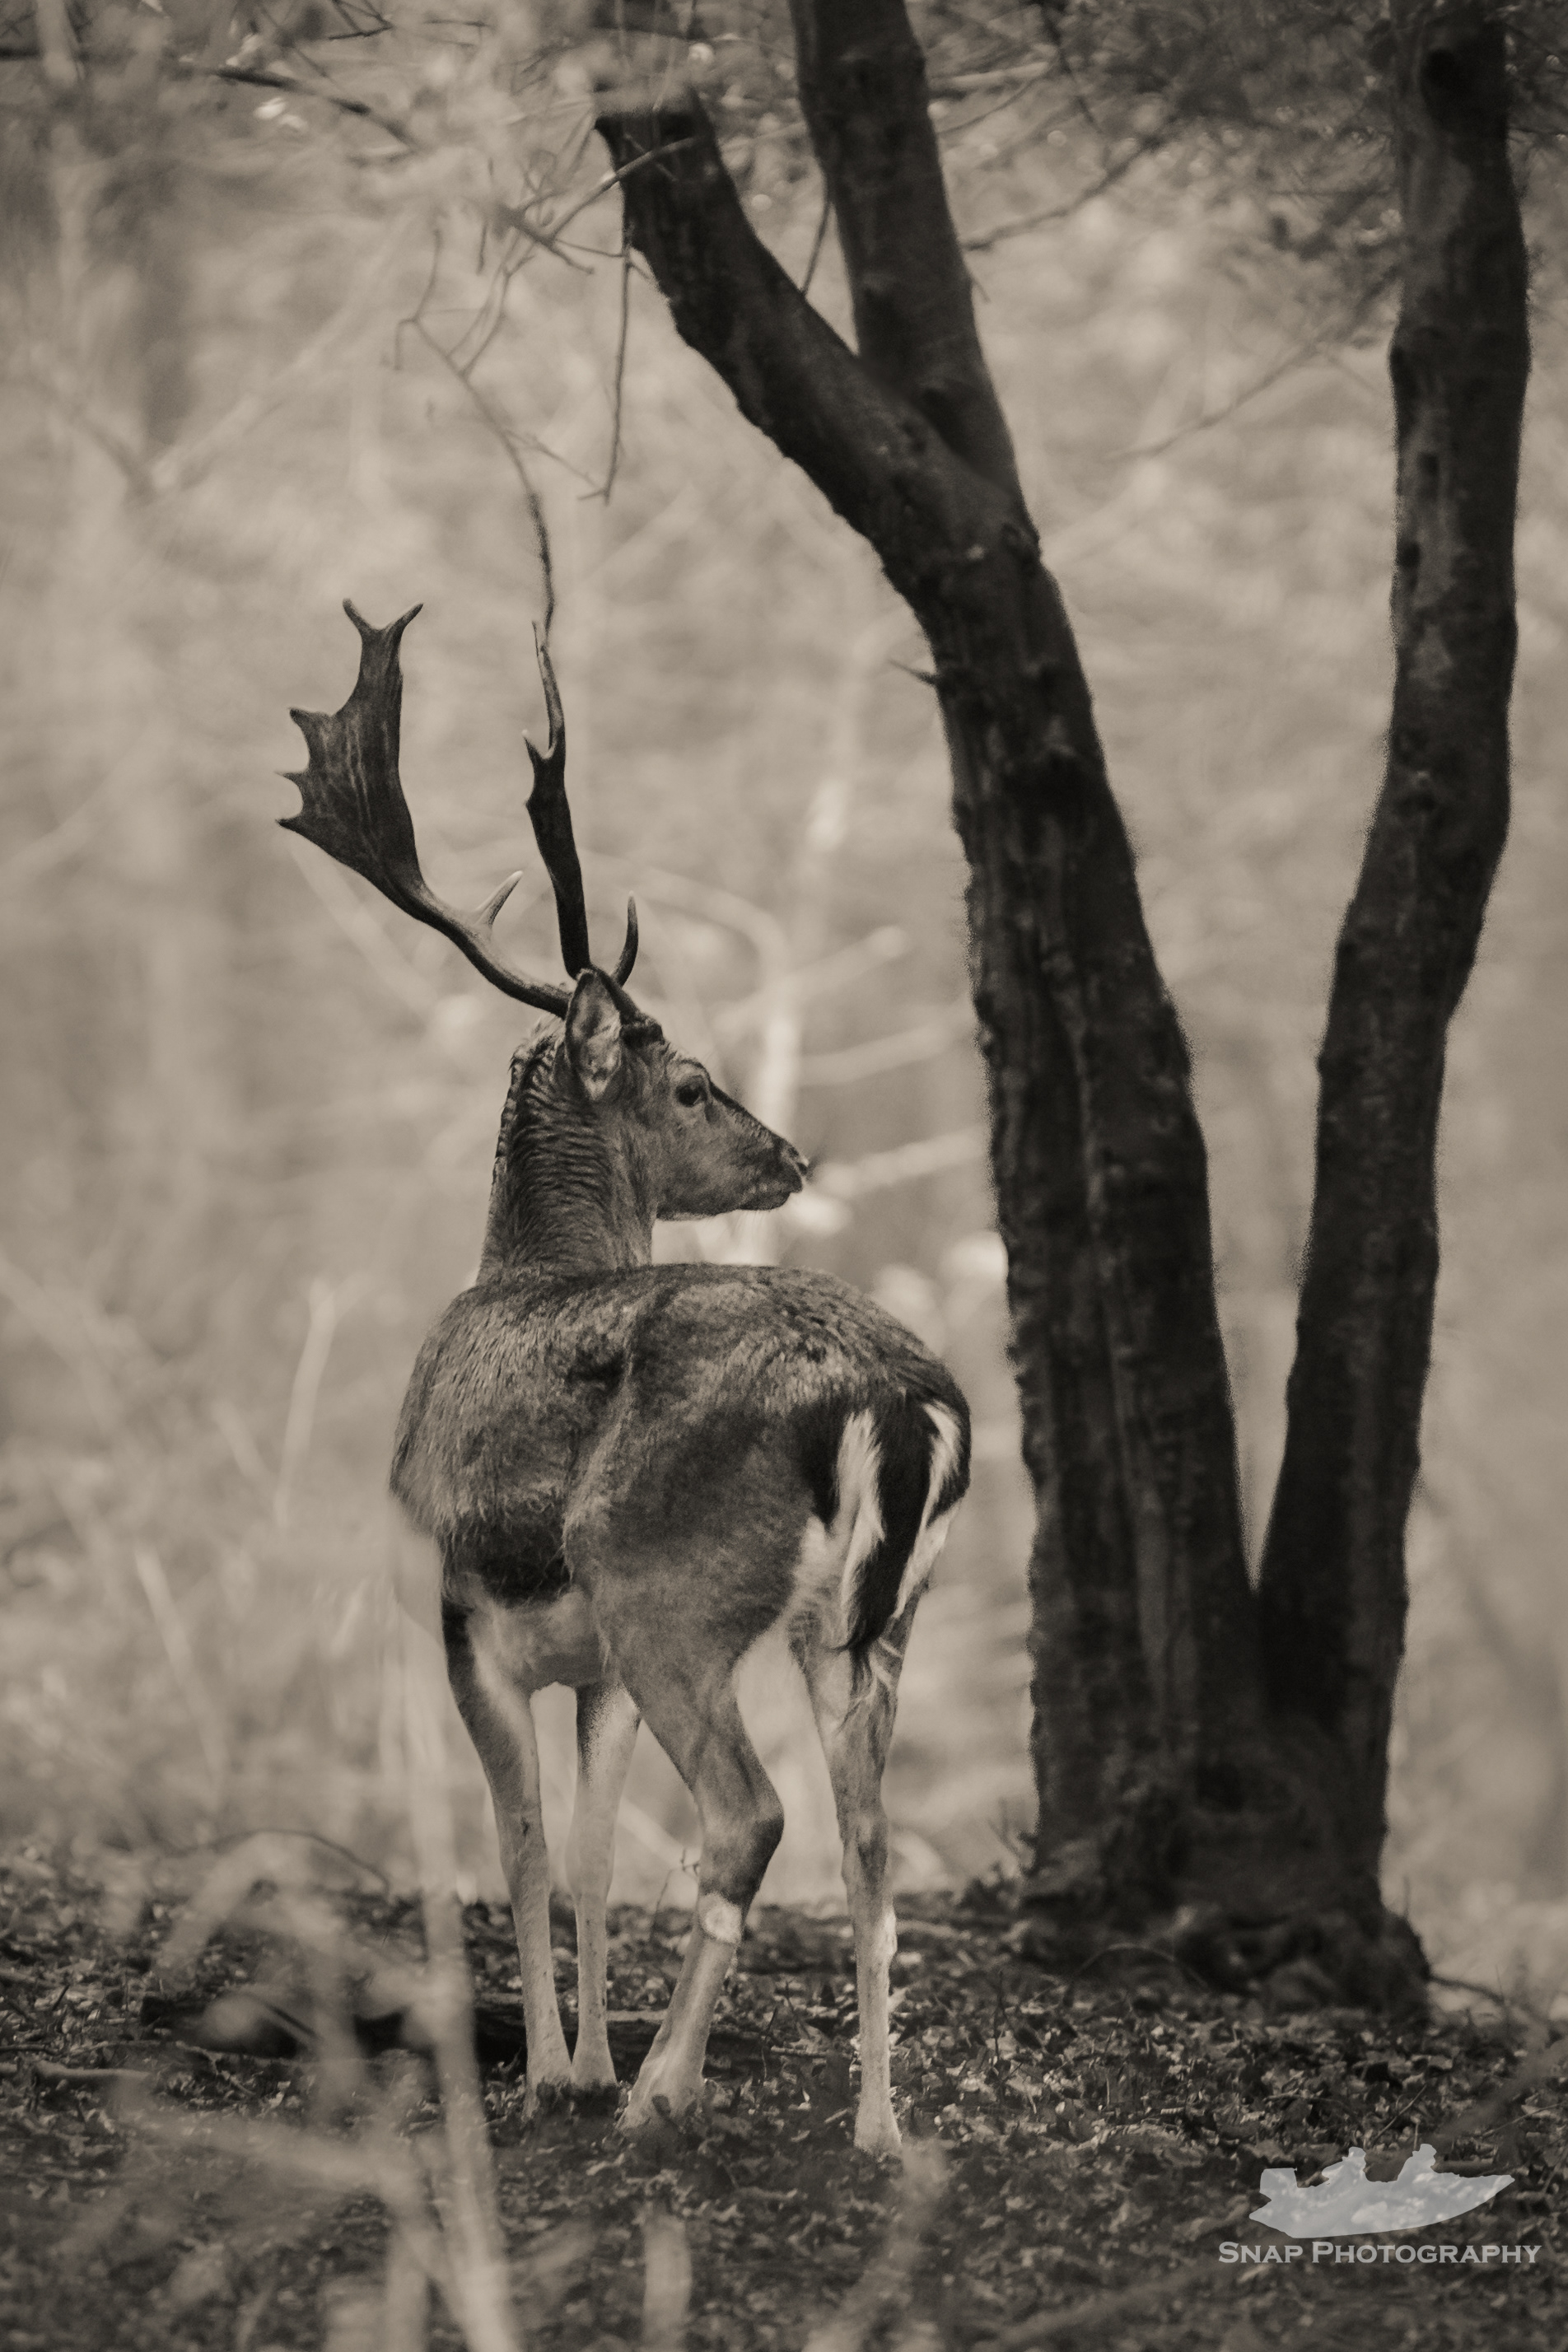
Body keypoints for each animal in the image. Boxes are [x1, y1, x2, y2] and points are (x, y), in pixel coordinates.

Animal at [280, 603, 971, 2156]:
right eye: (697, 1086)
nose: (790, 1155)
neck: (514, 1269)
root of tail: (897, 1398)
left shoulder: (456, 1604)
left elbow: (524, 1847)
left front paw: (555, 2072)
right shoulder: (580, 1660)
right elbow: (592, 1853)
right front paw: (582, 2057)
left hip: (663, 1577)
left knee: (750, 1819)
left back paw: (668, 2090)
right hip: (873, 1626)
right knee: (874, 1857)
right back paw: (878, 2131)